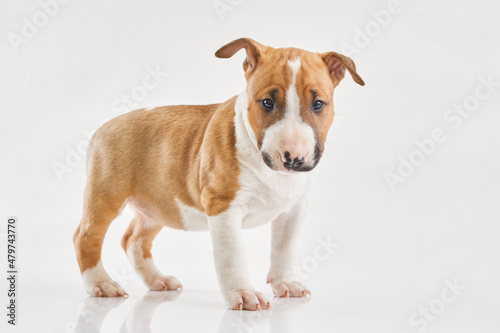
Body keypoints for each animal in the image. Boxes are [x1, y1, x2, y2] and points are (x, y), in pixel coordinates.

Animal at [73, 37, 364, 310]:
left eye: (318, 104)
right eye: (267, 102)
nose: (293, 158)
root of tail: (103, 128)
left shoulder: (293, 210)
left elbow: (284, 249)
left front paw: (286, 283)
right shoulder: (223, 208)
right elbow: (233, 255)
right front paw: (243, 294)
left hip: (158, 205)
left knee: (133, 240)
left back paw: (157, 279)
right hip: (107, 194)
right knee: (86, 236)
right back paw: (101, 283)